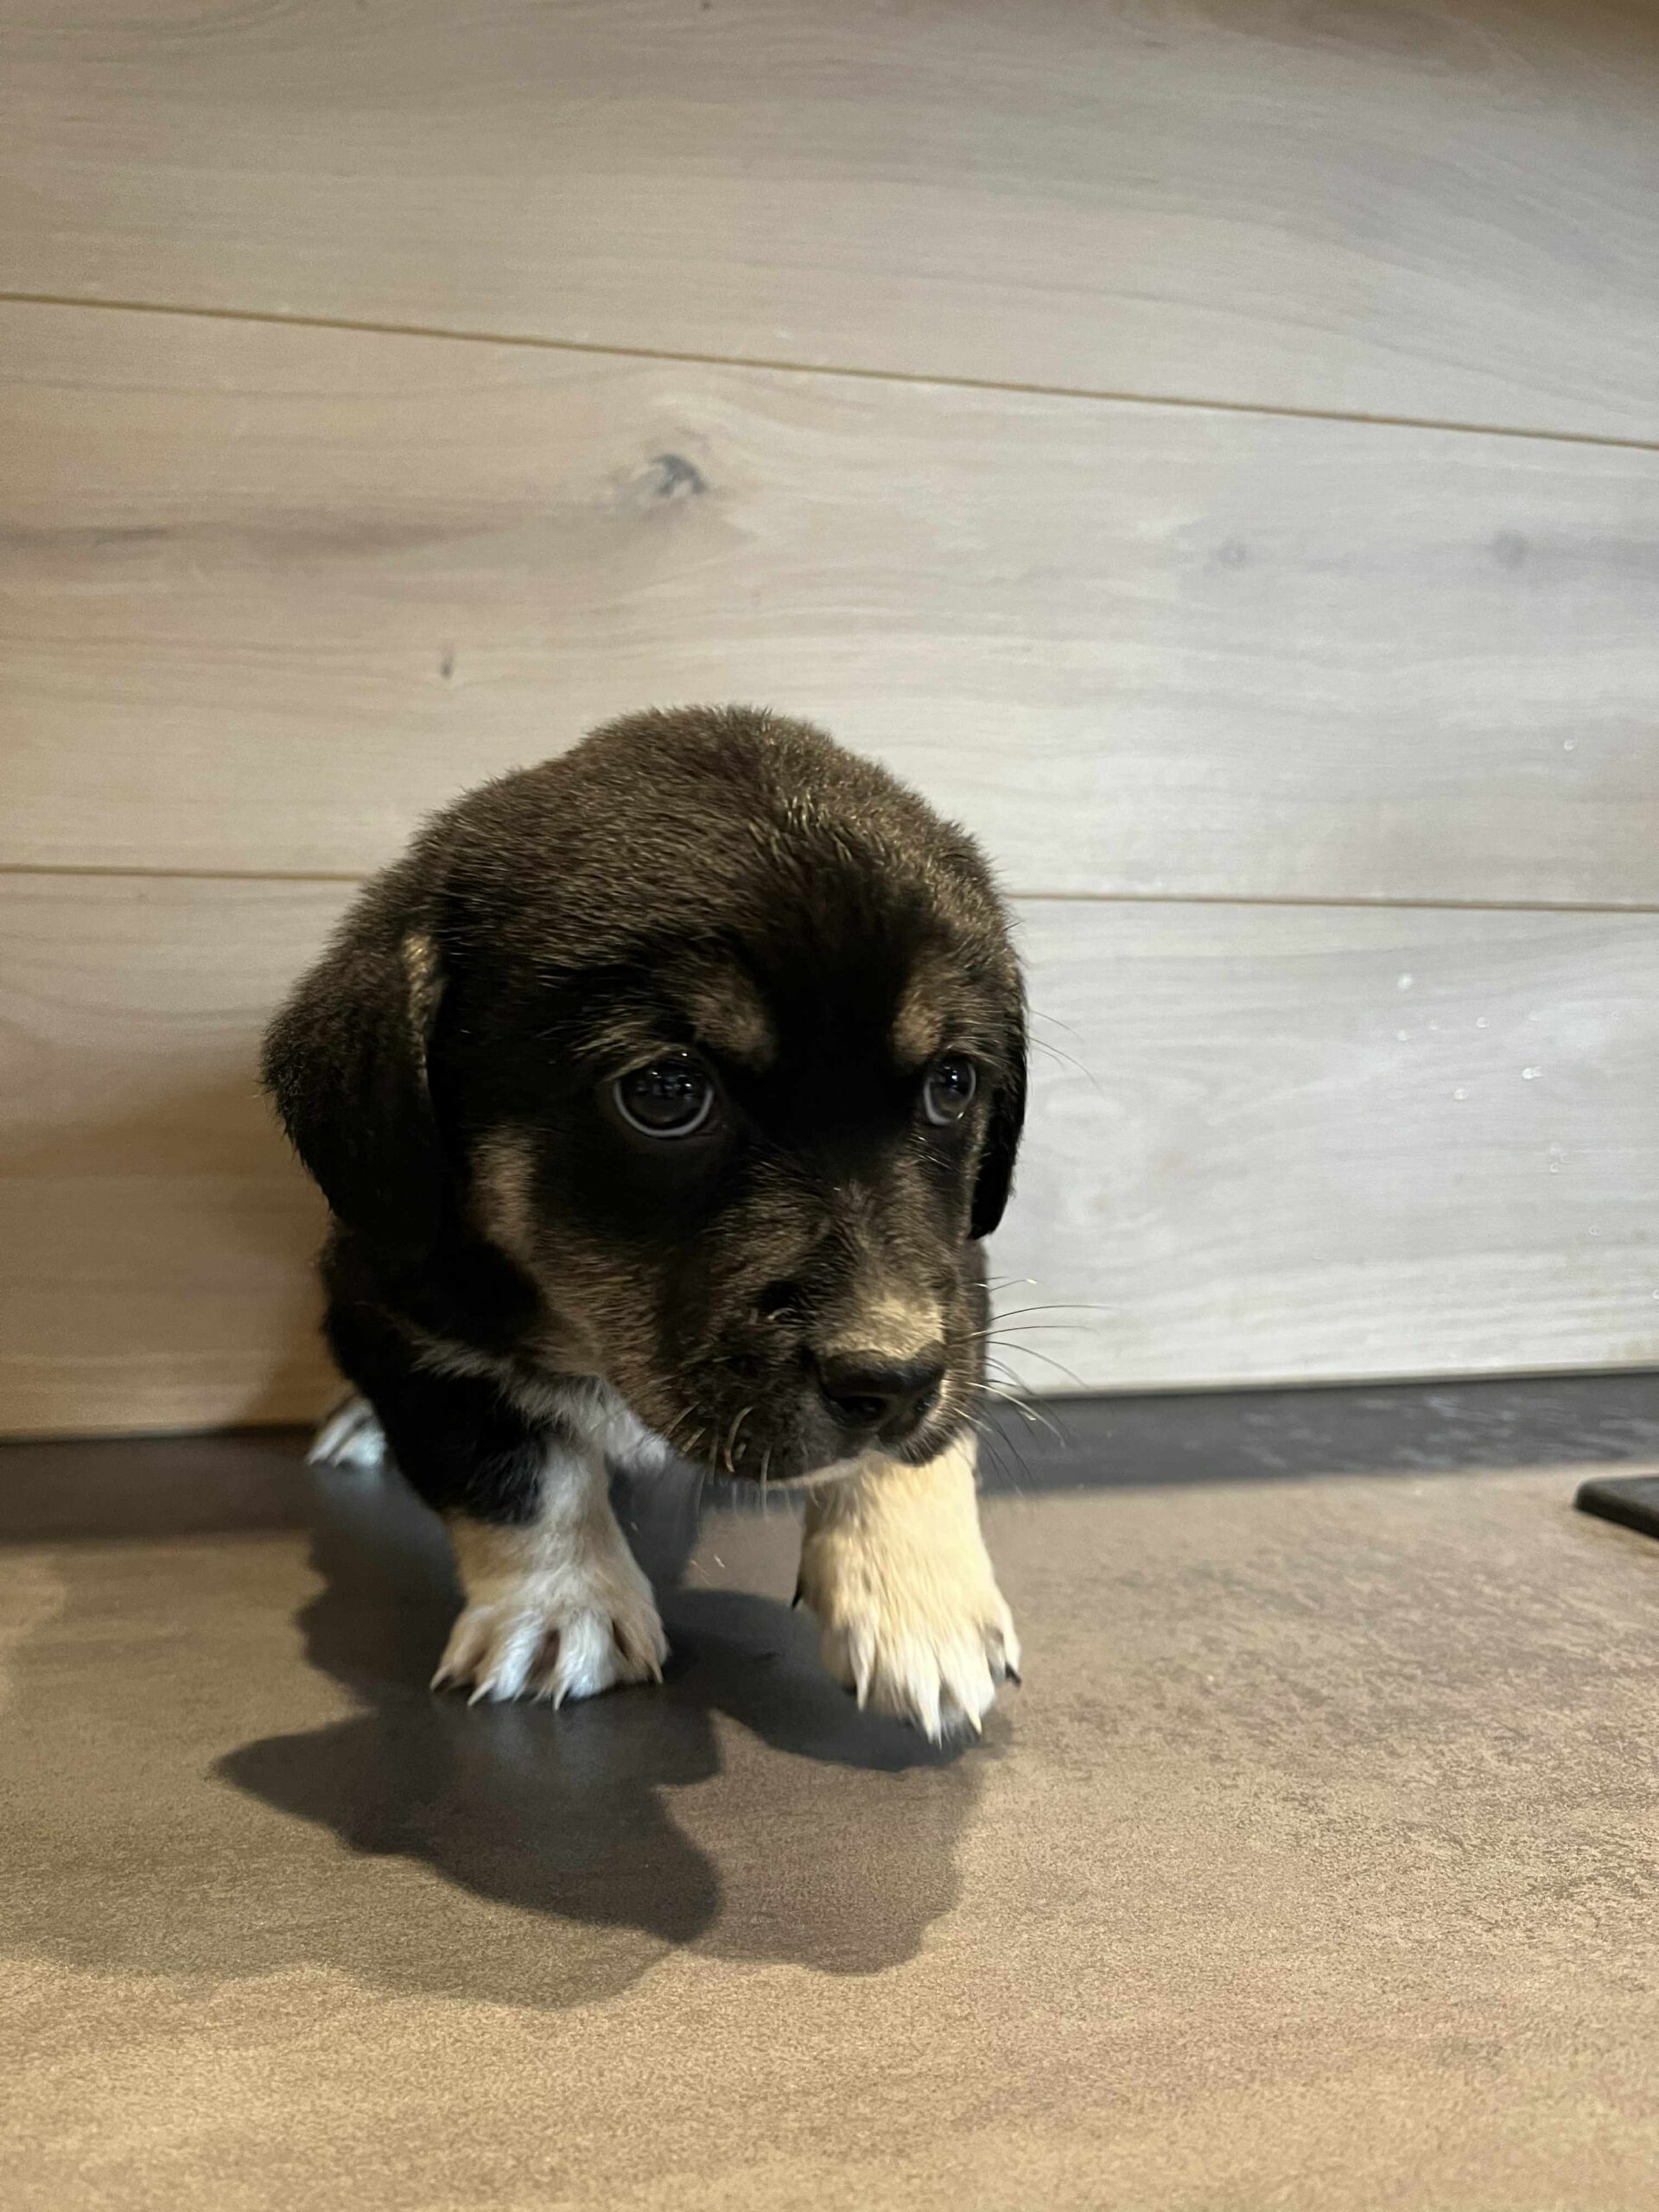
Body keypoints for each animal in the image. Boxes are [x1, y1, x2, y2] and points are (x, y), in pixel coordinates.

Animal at [263, 706, 1026, 1739]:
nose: (889, 1380)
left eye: (953, 1084)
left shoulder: (959, 1275)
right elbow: (512, 1464)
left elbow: (933, 1436)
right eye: (665, 1093)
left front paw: (921, 1605)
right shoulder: (390, 1309)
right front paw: (557, 1607)